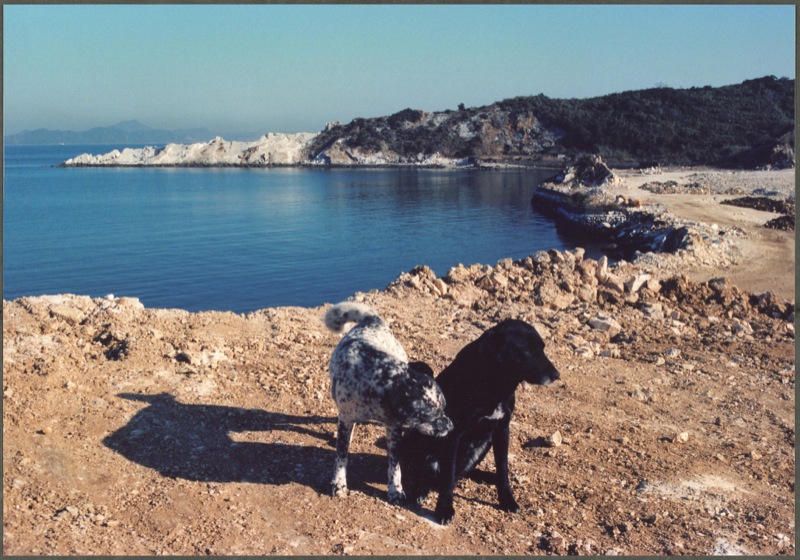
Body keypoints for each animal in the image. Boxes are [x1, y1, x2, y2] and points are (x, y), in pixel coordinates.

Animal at [324, 301, 453, 503]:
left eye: (444, 408)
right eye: (429, 416)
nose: (451, 427)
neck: (377, 378)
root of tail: (373, 320)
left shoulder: (394, 429)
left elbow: (395, 464)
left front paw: (395, 489)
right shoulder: (346, 419)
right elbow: (341, 456)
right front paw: (339, 483)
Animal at [398, 319, 560, 524]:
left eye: (542, 349)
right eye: (526, 351)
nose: (556, 375)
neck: (494, 383)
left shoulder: (502, 430)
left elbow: (503, 470)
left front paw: (507, 500)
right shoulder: (454, 433)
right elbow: (448, 477)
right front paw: (444, 509)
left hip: (484, 444)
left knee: (462, 472)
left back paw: (487, 477)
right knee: (429, 473)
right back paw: (421, 490)